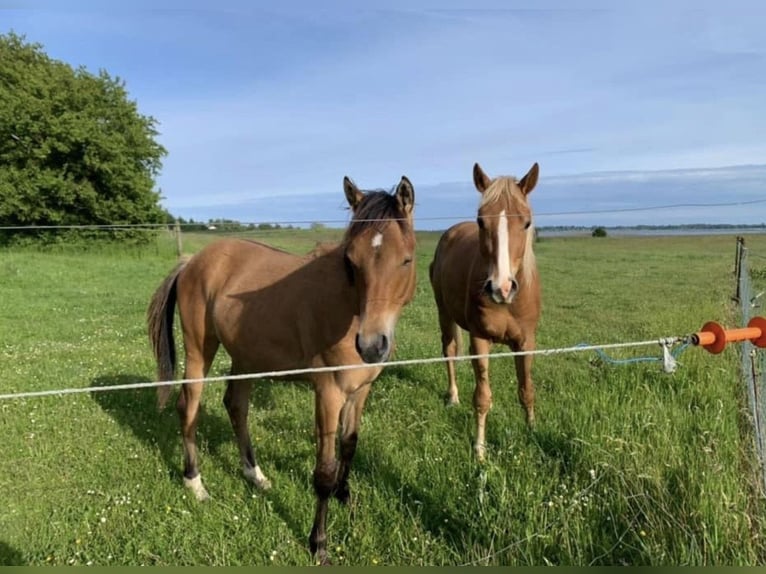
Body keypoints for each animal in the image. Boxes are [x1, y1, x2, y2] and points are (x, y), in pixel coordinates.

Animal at [148, 177, 416, 568]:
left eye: (406, 260)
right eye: (352, 262)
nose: (371, 346)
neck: (346, 309)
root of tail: (193, 261)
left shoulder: (361, 391)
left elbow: (350, 446)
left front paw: (346, 499)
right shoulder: (328, 394)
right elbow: (324, 471)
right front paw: (319, 544)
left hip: (247, 358)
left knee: (236, 406)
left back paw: (255, 476)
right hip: (200, 351)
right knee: (189, 408)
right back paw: (196, 484)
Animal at [428, 162, 544, 464]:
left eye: (526, 222)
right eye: (481, 221)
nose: (501, 288)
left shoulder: (526, 343)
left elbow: (527, 389)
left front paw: (533, 431)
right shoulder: (479, 341)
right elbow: (482, 397)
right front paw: (480, 449)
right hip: (444, 313)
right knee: (449, 351)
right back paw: (452, 397)